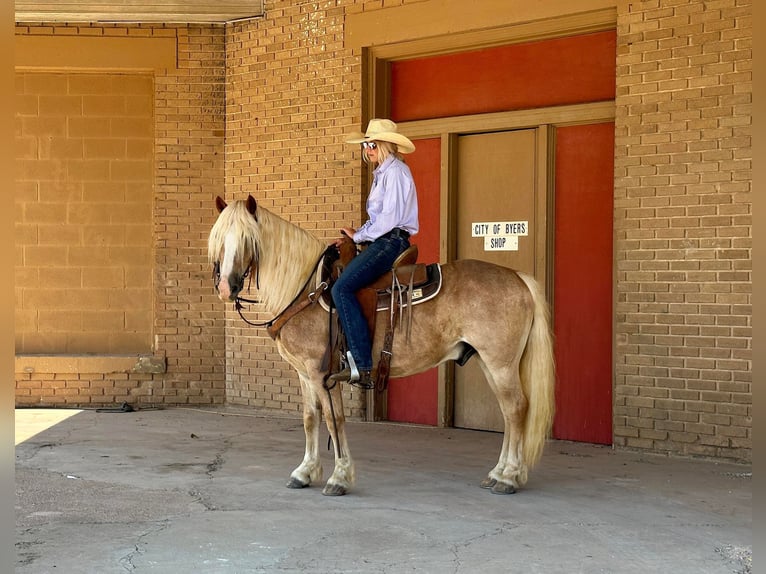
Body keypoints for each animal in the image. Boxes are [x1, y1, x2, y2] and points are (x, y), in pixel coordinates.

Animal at [208, 196, 560, 498]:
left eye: (248, 239)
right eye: (219, 240)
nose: (226, 287)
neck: (307, 289)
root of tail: (518, 277)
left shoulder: (321, 374)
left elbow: (334, 420)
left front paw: (339, 477)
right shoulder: (305, 375)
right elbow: (310, 419)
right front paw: (304, 473)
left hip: (500, 363)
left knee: (516, 409)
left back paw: (509, 477)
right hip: (490, 362)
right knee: (508, 413)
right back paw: (498, 472)